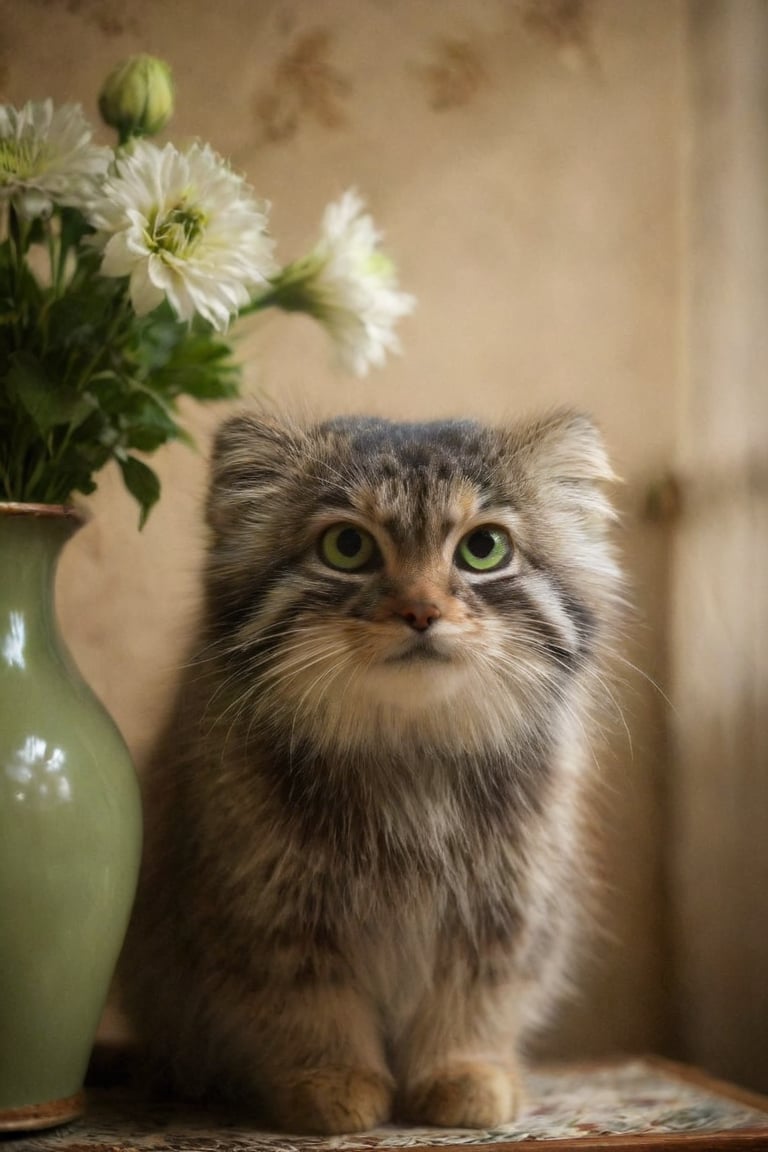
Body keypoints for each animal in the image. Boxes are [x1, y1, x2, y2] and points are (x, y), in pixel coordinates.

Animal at [121, 407, 626, 1133]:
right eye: (347, 548)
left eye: (484, 549)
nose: (420, 611)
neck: (410, 760)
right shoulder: (272, 919)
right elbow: (313, 1012)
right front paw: (332, 1083)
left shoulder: (502, 912)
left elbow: (471, 1005)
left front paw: (463, 1073)